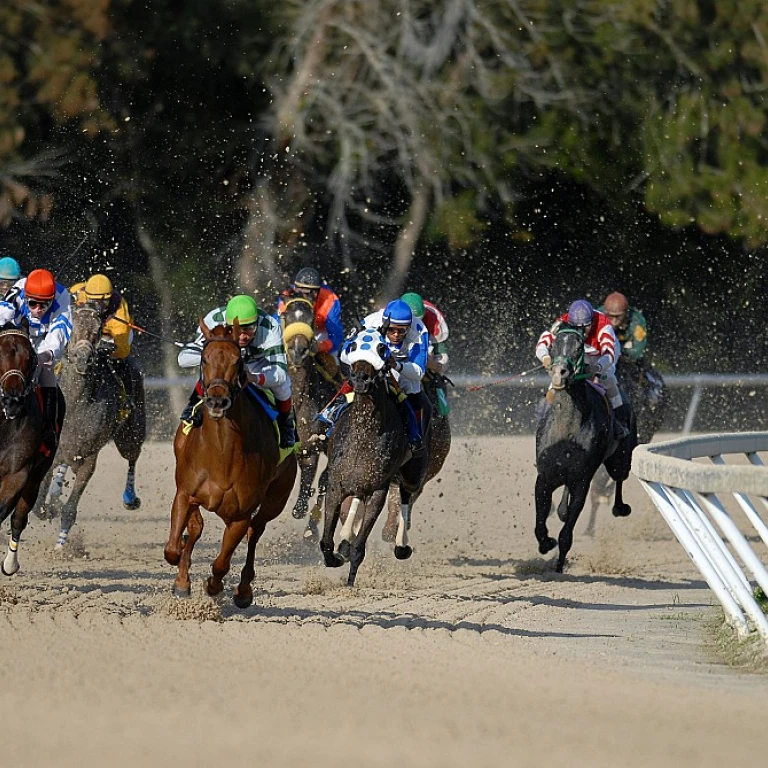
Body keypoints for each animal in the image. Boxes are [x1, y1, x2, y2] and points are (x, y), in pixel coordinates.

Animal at [33, 304, 147, 548]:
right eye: (72, 328)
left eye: (98, 330)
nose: (83, 358)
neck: (76, 404)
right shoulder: (56, 449)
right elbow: (39, 502)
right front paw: (48, 507)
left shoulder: (88, 458)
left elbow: (70, 509)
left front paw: (61, 547)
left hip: (131, 434)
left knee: (132, 457)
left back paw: (130, 497)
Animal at [165, 318, 296, 608]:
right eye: (204, 358)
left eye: (238, 361)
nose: (216, 400)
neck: (221, 454)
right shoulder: (184, 494)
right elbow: (173, 548)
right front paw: (181, 580)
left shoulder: (241, 514)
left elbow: (222, 563)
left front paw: (214, 585)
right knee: (197, 528)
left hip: (275, 500)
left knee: (255, 531)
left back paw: (244, 590)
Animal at [316, 330, 426, 588]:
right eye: (353, 345)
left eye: (381, 349)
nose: (360, 379)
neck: (363, 438)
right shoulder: (336, 485)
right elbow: (326, 541)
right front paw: (336, 556)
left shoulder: (378, 490)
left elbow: (359, 547)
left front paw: (349, 581)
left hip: (412, 473)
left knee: (406, 495)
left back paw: (401, 546)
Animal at [536, 328, 636, 572]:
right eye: (553, 345)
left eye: (579, 347)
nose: (559, 373)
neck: (567, 429)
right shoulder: (544, 476)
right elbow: (540, 519)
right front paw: (545, 543)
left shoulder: (582, 480)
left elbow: (566, 534)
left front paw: (558, 567)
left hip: (620, 459)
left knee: (619, 478)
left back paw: (620, 507)